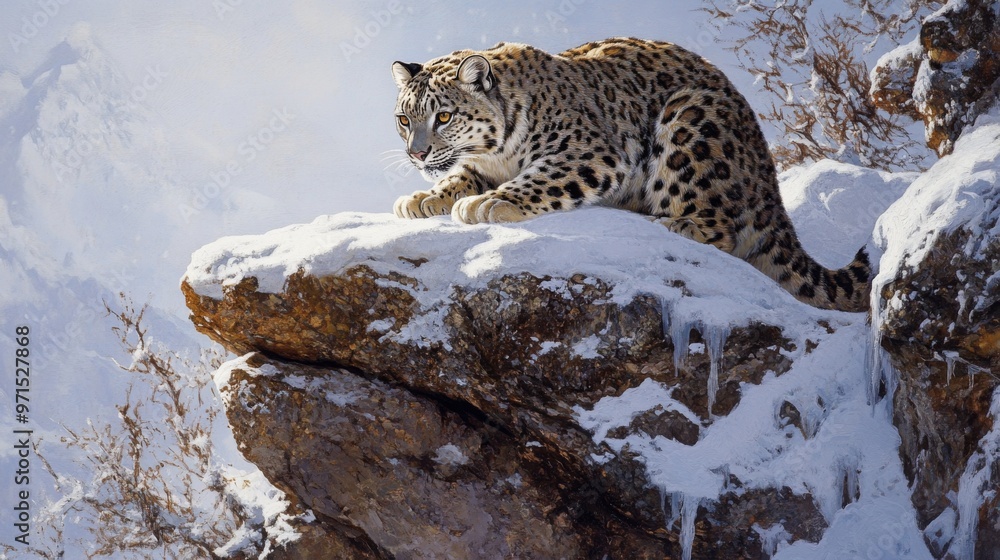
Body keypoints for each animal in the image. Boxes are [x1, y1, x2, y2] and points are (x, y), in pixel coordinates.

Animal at [390, 37, 871, 312]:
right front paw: (423, 199)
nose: (416, 154)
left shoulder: (591, 152)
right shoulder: (481, 164)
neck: (497, 155)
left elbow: (539, 177)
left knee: (722, 230)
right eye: (403, 119)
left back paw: (673, 224)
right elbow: (460, 176)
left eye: (444, 116)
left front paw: (489, 203)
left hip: (688, 123)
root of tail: (768, 176)